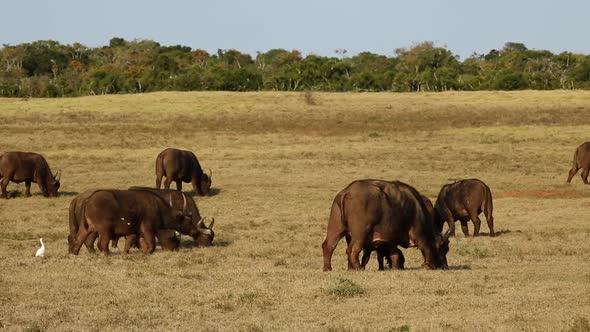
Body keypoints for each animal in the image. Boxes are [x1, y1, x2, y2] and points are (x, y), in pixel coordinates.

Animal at [322, 180, 450, 272]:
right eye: (444, 249)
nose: (444, 266)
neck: (419, 210)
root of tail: (347, 192)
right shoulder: (420, 234)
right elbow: (426, 248)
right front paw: (428, 265)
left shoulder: (390, 240)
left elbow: (395, 254)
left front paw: (395, 268)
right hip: (360, 233)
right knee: (353, 250)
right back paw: (358, 269)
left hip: (336, 228)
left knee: (328, 246)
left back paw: (329, 268)